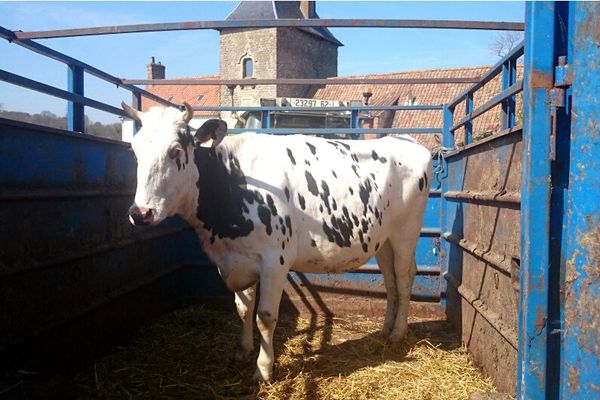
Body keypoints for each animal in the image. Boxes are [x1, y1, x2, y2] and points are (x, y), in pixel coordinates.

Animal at [122, 101, 432, 382]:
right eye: (134, 151)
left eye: (175, 150)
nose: (140, 213)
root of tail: (406, 140)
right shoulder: (239, 258)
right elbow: (243, 310)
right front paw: (243, 351)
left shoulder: (275, 261)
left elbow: (266, 316)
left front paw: (263, 369)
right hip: (384, 239)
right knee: (390, 280)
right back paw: (385, 329)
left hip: (406, 231)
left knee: (404, 277)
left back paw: (397, 333)